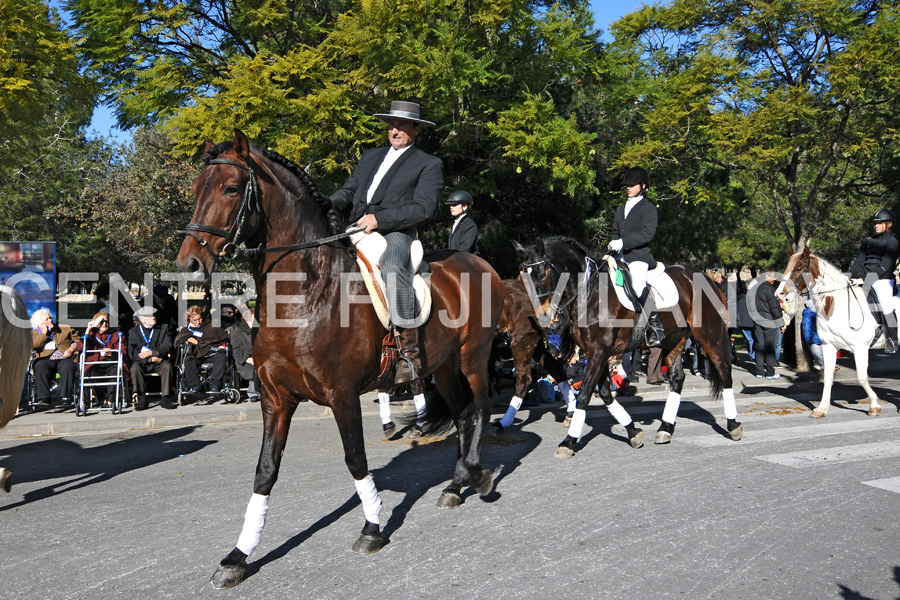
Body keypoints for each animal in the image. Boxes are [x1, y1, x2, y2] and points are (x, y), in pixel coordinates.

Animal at [176, 130, 506, 584]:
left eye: (229, 188)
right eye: (195, 189)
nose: (189, 263)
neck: (305, 292)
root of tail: (478, 262)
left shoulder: (341, 393)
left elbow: (355, 459)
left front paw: (372, 528)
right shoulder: (275, 399)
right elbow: (265, 471)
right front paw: (238, 556)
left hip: (473, 357)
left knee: (482, 406)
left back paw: (478, 473)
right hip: (443, 367)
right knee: (462, 413)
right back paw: (455, 486)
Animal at [516, 237, 740, 458]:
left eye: (541, 272)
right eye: (523, 274)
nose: (540, 316)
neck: (590, 294)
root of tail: (705, 277)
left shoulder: (599, 351)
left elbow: (584, 395)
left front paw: (569, 441)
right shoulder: (596, 352)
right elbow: (605, 393)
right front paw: (633, 432)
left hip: (708, 335)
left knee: (724, 372)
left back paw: (733, 425)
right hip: (674, 339)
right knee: (677, 379)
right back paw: (665, 428)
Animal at [780, 247, 884, 418]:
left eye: (798, 268)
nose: (780, 294)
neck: (838, 304)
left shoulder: (860, 348)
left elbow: (862, 377)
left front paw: (874, 405)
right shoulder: (828, 346)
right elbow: (828, 377)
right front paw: (821, 408)